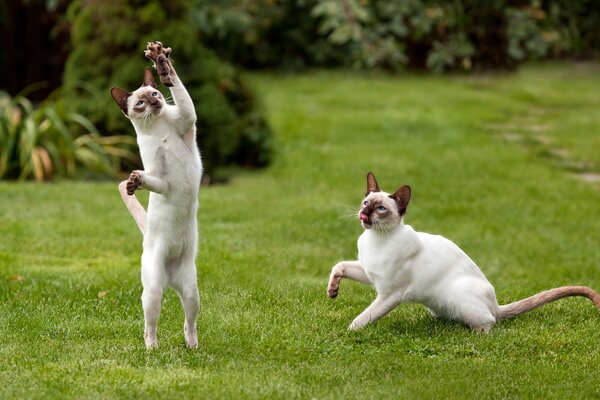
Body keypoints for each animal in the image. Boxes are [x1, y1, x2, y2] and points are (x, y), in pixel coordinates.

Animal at [112, 39, 204, 346]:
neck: (158, 127)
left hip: (191, 291)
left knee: (189, 322)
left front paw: (162, 63)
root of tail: (170, 280)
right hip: (153, 293)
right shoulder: (160, 176)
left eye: (153, 93)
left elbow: (178, 89)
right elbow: (148, 179)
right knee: (149, 326)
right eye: (140, 104)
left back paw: (192, 346)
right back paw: (152, 348)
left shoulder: (187, 119)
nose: (154, 102)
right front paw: (134, 182)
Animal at [328, 172, 600, 332]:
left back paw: (475, 335)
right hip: (438, 303)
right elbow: (339, 265)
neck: (376, 240)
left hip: (459, 297)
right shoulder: (369, 273)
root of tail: (496, 304)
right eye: (366, 203)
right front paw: (332, 291)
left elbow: (363, 318)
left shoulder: (389, 293)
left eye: (381, 209)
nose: (364, 214)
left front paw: (349, 333)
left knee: (490, 322)